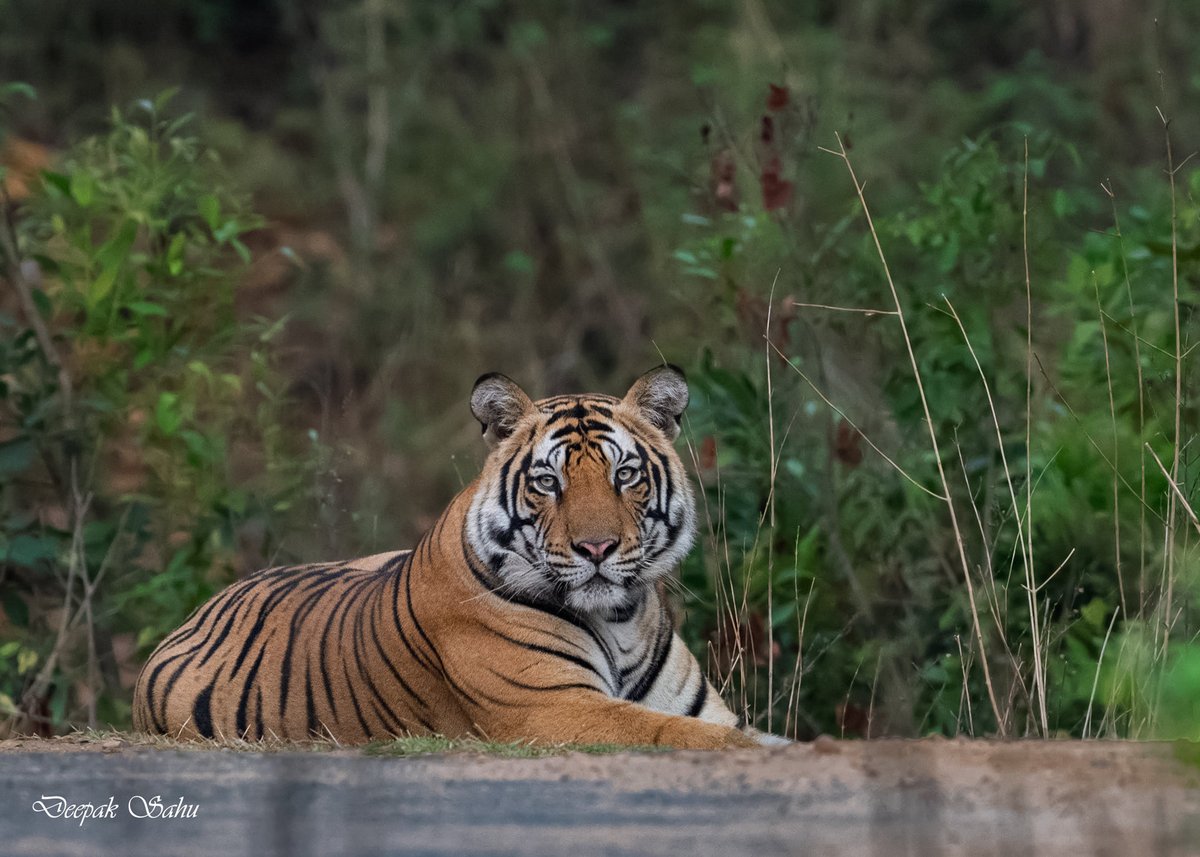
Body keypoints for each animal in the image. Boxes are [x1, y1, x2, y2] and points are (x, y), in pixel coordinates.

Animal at [133, 365, 783, 749]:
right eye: (547, 482)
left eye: (625, 475)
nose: (596, 548)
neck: (620, 618)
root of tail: (199, 610)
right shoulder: (552, 709)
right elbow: (683, 735)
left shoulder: (701, 707)